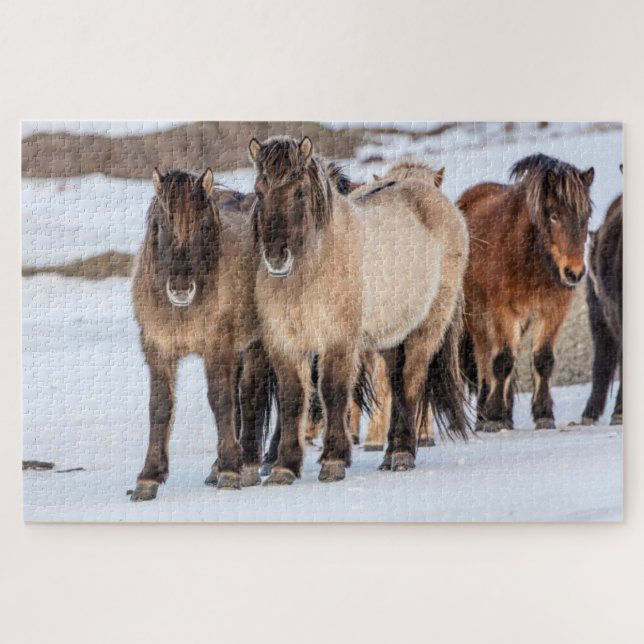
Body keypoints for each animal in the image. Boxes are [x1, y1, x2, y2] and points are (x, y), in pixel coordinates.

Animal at [130, 168, 272, 501]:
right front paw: (148, 477)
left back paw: (247, 465)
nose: (181, 288)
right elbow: (160, 407)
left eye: (204, 226)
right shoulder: (159, 349)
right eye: (160, 225)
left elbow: (221, 401)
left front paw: (231, 471)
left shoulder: (217, 348)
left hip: (255, 345)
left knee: (250, 395)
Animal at [249, 136, 469, 485]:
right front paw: (284, 467)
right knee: (395, 383)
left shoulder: (339, 342)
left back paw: (403, 453)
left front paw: (333, 460)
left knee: (410, 382)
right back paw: (391, 453)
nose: (276, 257)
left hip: (426, 328)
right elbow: (292, 400)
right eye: (259, 192)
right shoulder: (285, 344)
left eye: (299, 192)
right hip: (392, 336)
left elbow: (333, 393)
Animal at [458, 153, 594, 432]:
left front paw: (543, 414)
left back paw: (507, 416)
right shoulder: (502, 312)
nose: (574, 273)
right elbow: (502, 361)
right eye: (553, 215)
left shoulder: (553, 311)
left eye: (586, 215)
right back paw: (484, 415)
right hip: (477, 317)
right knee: (485, 361)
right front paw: (494, 415)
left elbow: (543, 360)